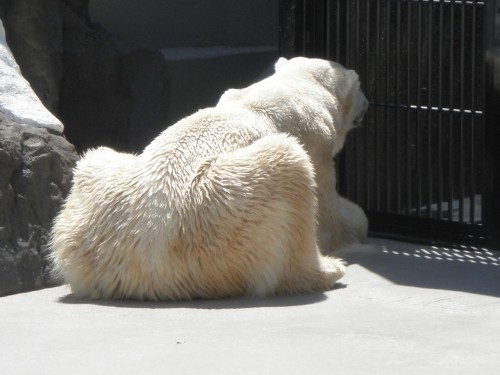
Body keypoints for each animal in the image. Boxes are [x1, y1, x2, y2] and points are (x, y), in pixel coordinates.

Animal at [50, 56, 370, 302]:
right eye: (361, 87)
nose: (368, 104)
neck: (288, 92)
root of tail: (140, 272)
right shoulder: (316, 141)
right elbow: (328, 216)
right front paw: (358, 227)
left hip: (95, 207)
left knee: (97, 157)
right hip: (219, 218)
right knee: (288, 164)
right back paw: (327, 270)